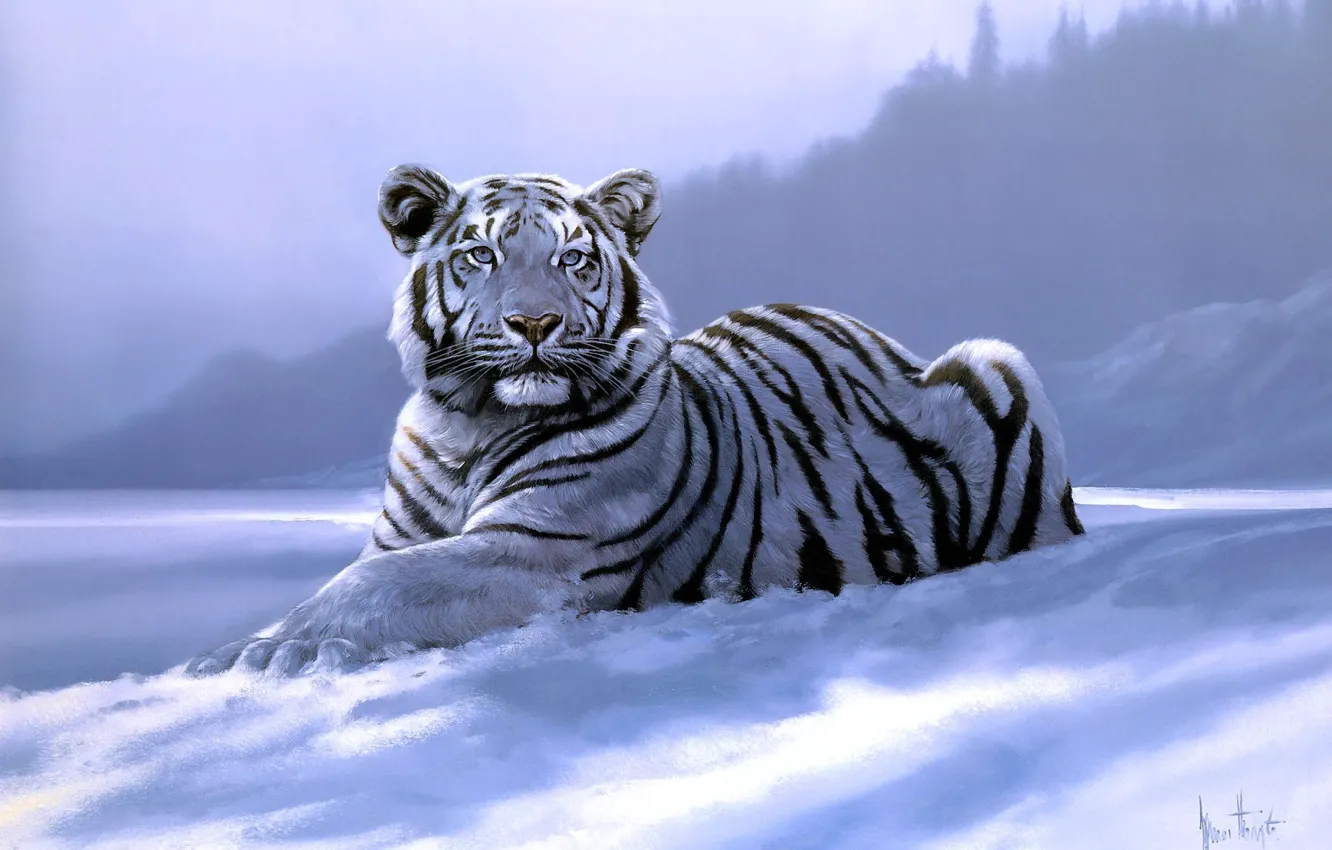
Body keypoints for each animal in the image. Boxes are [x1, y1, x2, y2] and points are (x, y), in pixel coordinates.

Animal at [186, 165, 1086, 678]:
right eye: (480, 255)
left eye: (573, 258)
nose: (535, 324)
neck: (469, 424)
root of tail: (879, 335)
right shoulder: (405, 533)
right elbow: (367, 571)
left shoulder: (539, 549)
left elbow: (375, 585)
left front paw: (263, 650)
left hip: (998, 364)